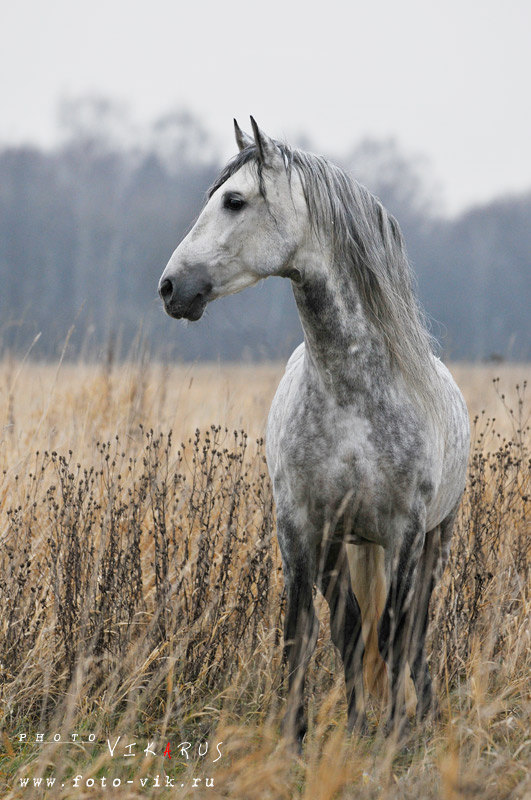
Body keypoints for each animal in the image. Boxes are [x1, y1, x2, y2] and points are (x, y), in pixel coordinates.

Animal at [157, 115, 470, 748]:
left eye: (234, 200)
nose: (171, 288)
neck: (351, 395)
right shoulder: (301, 529)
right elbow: (303, 633)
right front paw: (296, 740)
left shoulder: (405, 534)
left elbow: (395, 634)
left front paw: (395, 739)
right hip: (343, 545)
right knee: (352, 630)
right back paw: (357, 723)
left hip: (435, 540)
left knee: (411, 634)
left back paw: (418, 717)